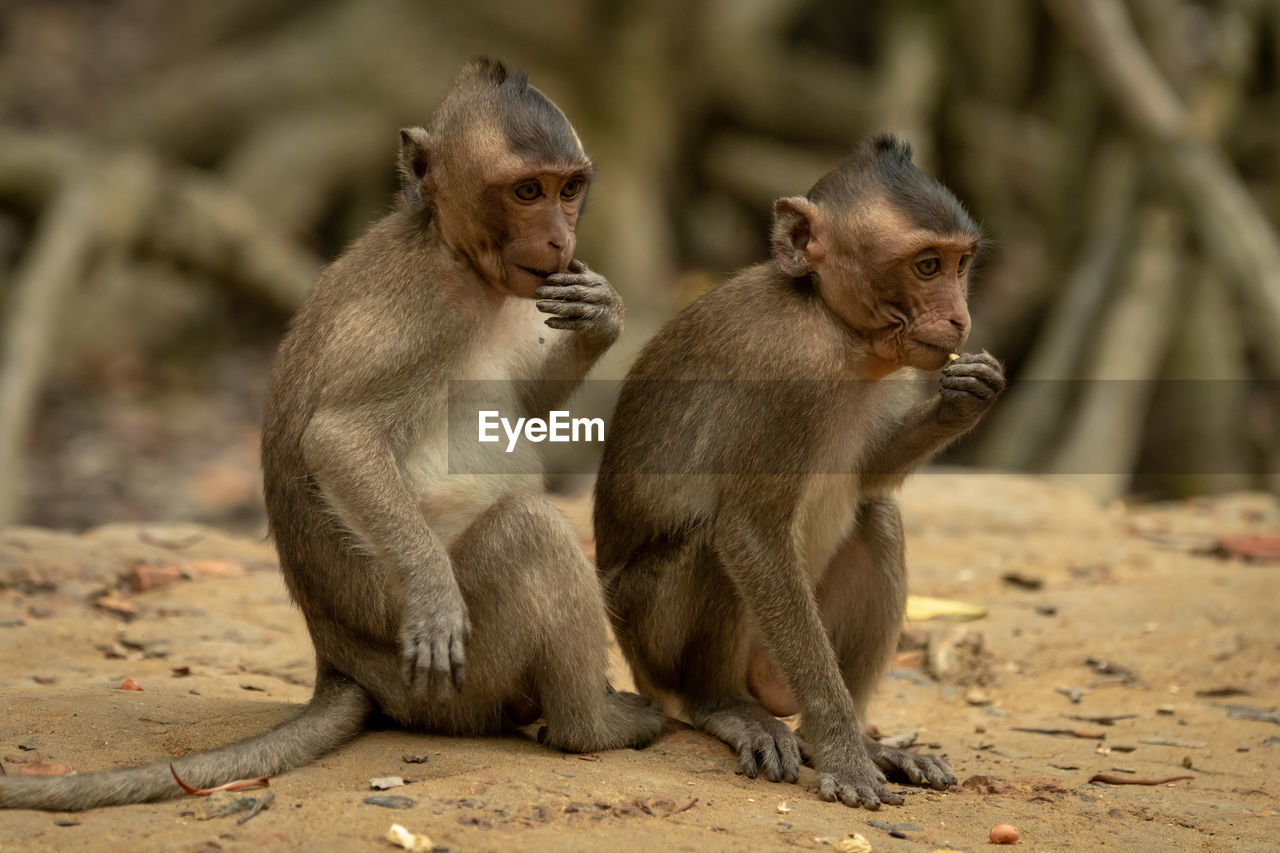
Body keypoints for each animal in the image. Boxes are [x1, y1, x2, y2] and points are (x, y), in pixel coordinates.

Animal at [7, 58, 670, 804]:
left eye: (569, 188)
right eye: (527, 191)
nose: (561, 239)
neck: (451, 252)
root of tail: (341, 664)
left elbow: (524, 401)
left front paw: (602, 315)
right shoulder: (421, 312)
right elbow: (337, 436)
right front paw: (434, 594)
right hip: (459, 677)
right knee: (528, 531)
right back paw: (592, 726)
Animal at [593, 134, 1003, 809]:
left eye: (961, 263)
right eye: (926, 266)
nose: (959, 319)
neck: (832, 323)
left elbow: (869, 479)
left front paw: (967, 397)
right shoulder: (788, 372)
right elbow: (750, 532)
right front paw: (843, 754)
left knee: (877, 518)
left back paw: (858, 741)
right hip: (651, 636)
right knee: (716, 543)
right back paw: (730, 708)